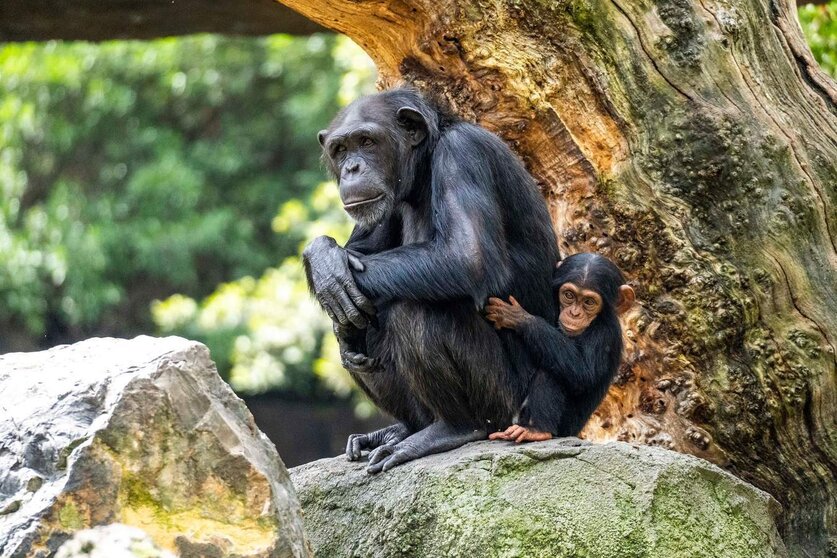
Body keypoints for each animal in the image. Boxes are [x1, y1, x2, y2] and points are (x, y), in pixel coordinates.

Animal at [304, 87, 560, 472]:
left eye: (366, 141)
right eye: (340, 149)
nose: (352, 167)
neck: (422, 170)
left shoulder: (462, 155)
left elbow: (467, 256)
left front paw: (330, 272)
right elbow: (361, 248)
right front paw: (323, 261)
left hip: (508, 407)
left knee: (416, 307)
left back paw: (450, 429)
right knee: (359, 320)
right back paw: (397, 430)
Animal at [484, 253, 632, 442]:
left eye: (589, 302)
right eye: (569, 295)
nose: (574, 314)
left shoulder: (604, 334)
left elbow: (583, 370)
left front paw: (519, 318)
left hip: (566, 427)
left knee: (555, 372)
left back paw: (537, 430)